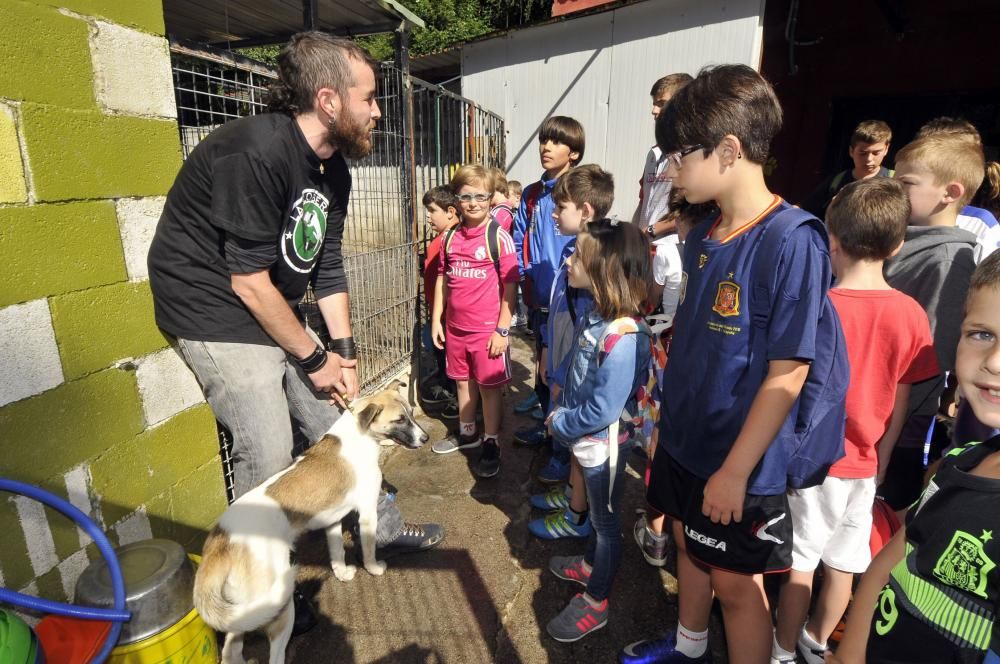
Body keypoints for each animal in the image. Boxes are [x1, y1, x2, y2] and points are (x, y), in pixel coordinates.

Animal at [193, 382, 428, 664]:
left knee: (231, 649)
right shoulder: (367, 511)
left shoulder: (333, 519)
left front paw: (342, 574)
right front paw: (373, 568)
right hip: (278, 606)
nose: (425, 438)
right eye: (399, 419)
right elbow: (369, 548)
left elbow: (337, 552)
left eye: (411, 413)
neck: (359, 434)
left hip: (242, 610)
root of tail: (219, 541)